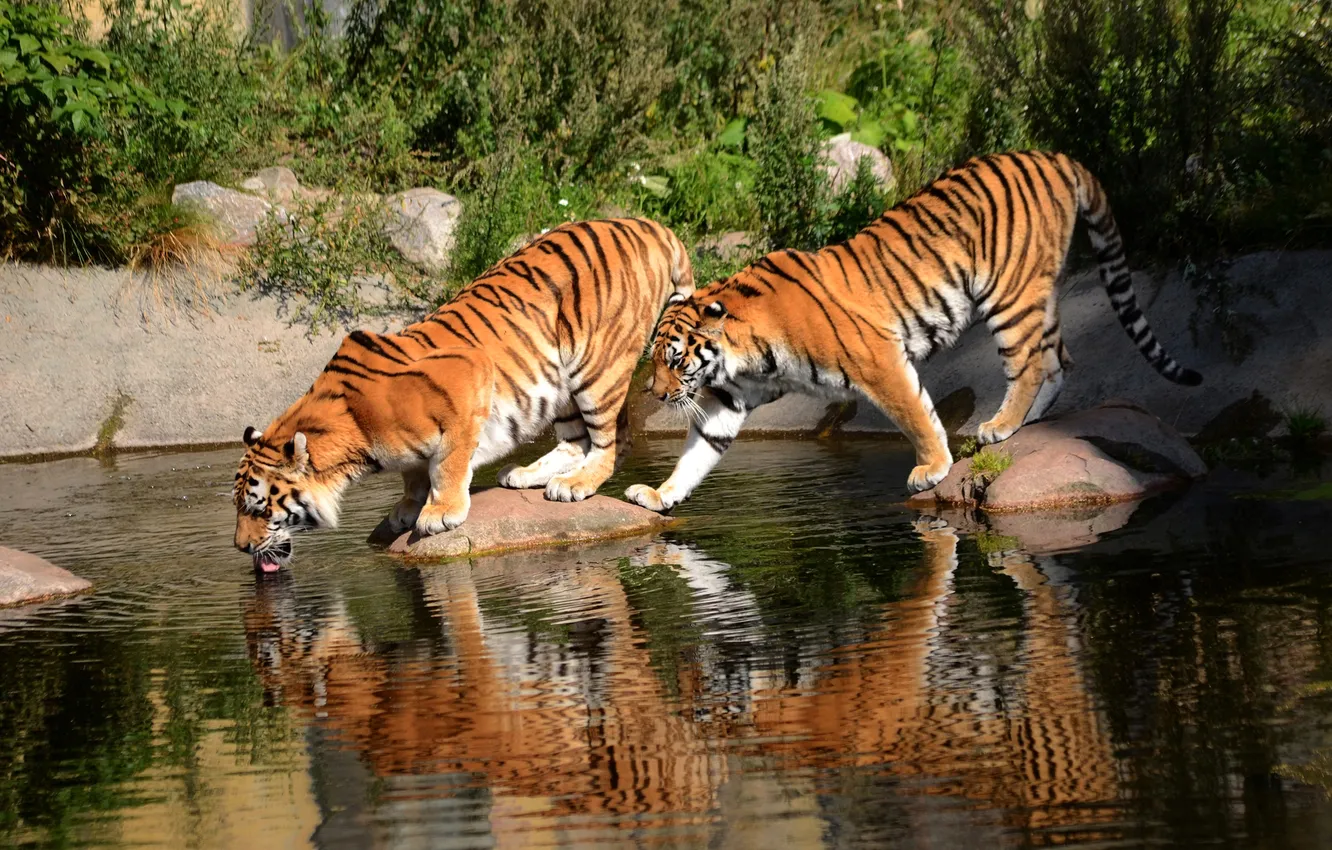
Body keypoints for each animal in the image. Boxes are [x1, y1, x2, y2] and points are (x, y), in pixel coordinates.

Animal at [233, 218, 693, 572]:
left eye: (259, 508)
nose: (240, 547)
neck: (354, 438)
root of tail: (649, 225)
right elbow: (414, 471)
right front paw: (407, 507)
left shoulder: (468, 375)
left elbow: (448, 463)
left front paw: (439, 513)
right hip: (561, 380)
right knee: (576, 440)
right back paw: (527, 475)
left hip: (596, 365)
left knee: (612, 440)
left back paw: (575, 484)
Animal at [625, 150, 1201, 513]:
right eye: (656, 360)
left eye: (673, 359)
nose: (654, 394)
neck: (742, 353)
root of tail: (1053, 157)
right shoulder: (731, 400)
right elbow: (699, 452)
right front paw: (659, 495)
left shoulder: (877, 358)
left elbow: (915, 414)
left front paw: (931, 469)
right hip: (1038, 292)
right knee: (1060, 357)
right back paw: (1027, 423)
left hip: (1009, 294)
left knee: (1032, 361)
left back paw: (999, 426)